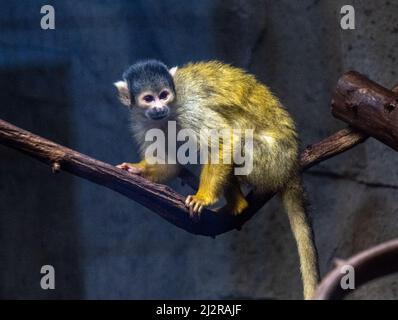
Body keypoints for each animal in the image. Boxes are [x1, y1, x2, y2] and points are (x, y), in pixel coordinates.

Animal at [113, 60, 318, 300]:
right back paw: (237, 205)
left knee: (238, 135)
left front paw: (203, 198)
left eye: (163, 95)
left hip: (270, 160)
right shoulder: (145, 120)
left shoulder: (189, 109)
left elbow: (224, 140)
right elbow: (169, 163)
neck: (171, 110)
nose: (159, 108)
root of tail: (292, 164)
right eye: (148, 98)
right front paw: (137, 170)